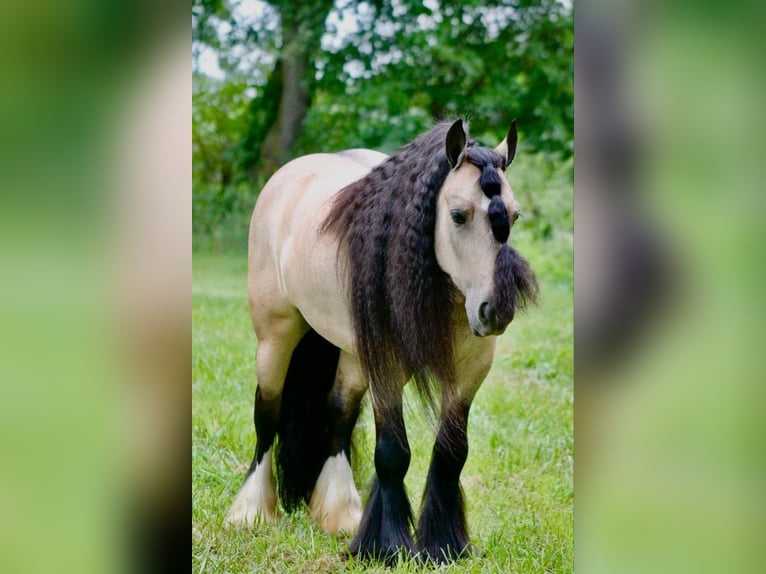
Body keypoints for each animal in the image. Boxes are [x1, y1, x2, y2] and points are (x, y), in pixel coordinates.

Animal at [225, 119, 540, 564]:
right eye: (458, 215)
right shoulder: (388, 370)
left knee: (338, 414)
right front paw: (387, 546)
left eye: (513, 215)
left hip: (353, 356)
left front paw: (443, 543)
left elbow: (451, 455)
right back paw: (251, 512)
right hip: (275, 336)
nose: (495, 311)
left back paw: (340, 514)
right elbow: (393, 454)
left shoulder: (469, 374)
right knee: (266, 414)